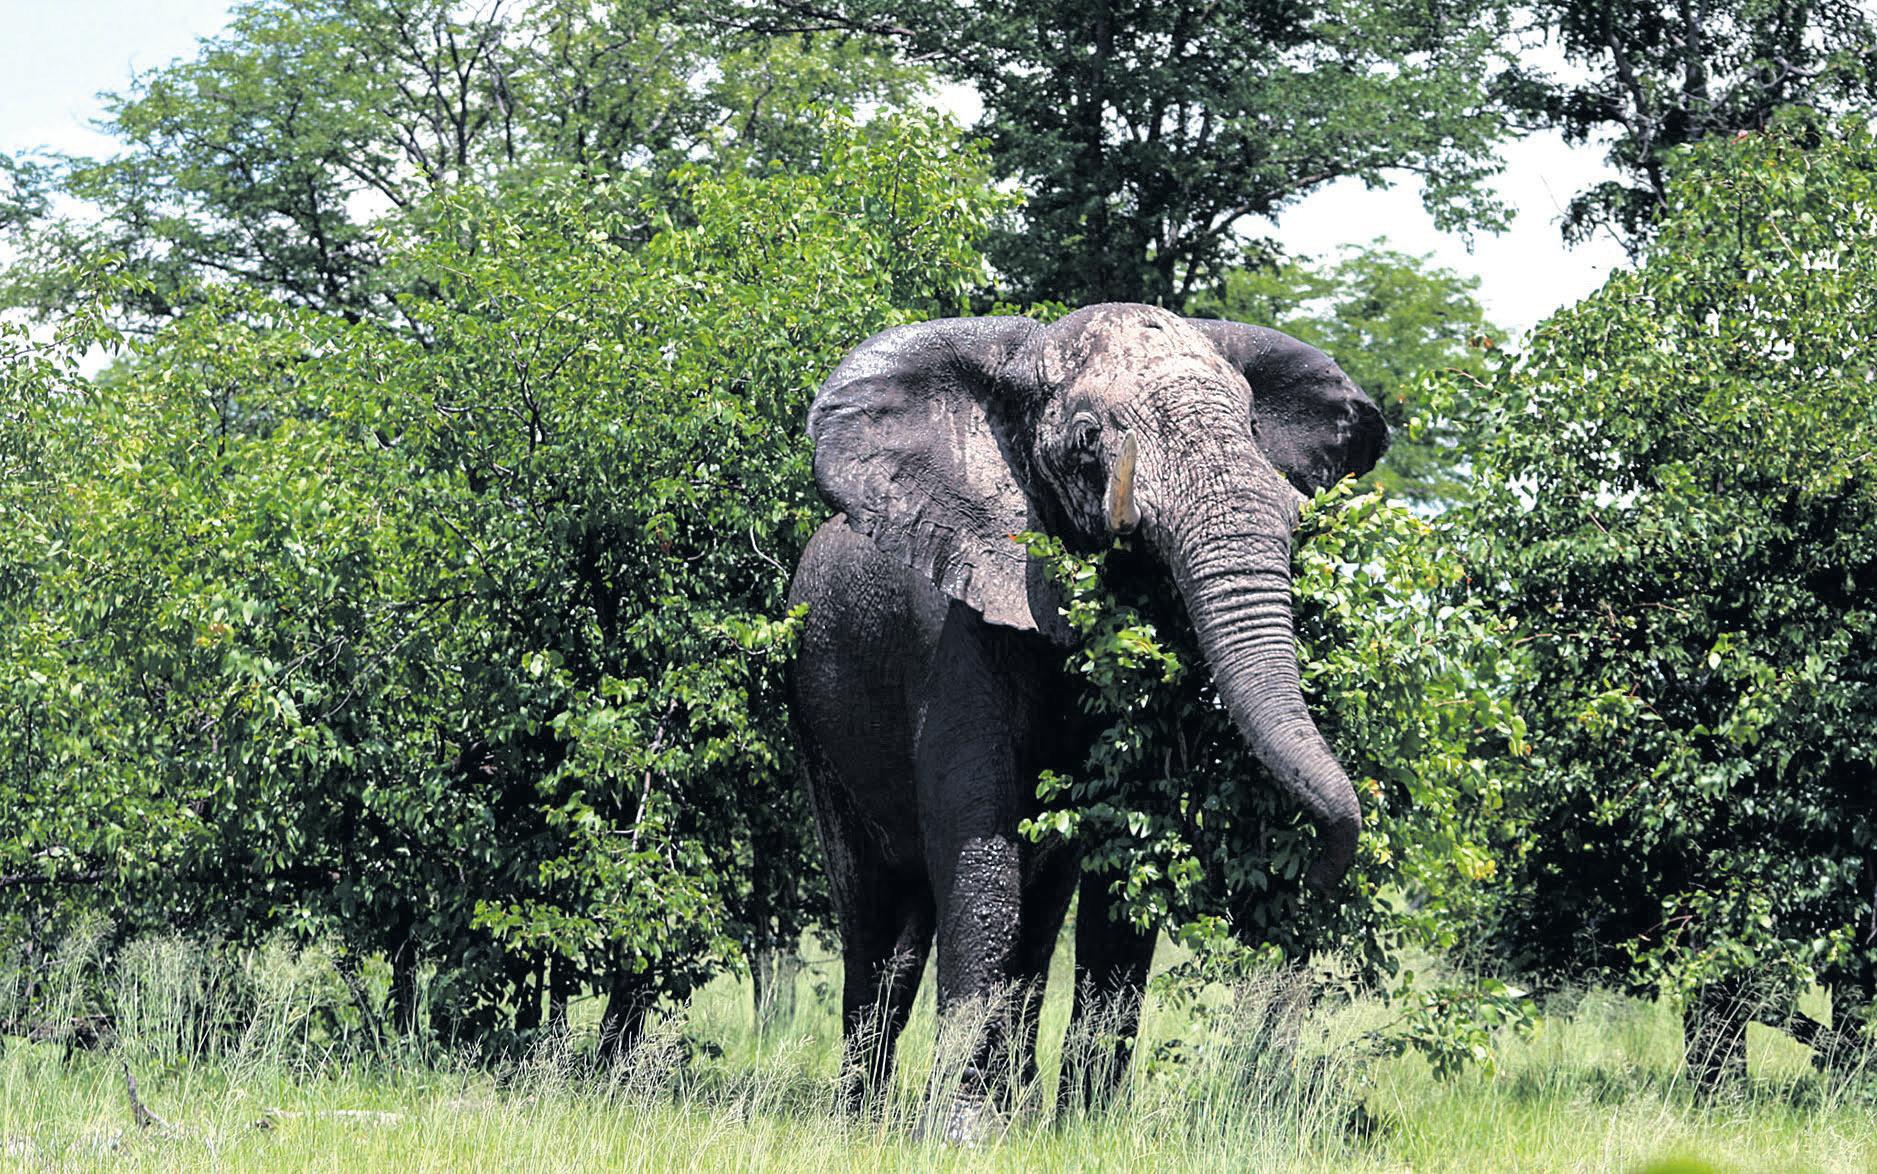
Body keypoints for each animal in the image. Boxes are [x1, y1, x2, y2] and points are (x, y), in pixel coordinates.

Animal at [785, 303, 1388, 1133]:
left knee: (1021, 920)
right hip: (813, 718)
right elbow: (979, 844)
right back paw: (860, 1121)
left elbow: (1126, 853)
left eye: (1249, 424)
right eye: (1087, 436)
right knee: (875, 916)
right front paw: (963, 1133)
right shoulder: (960, 624)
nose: (1318, 870)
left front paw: (1088, 1127)